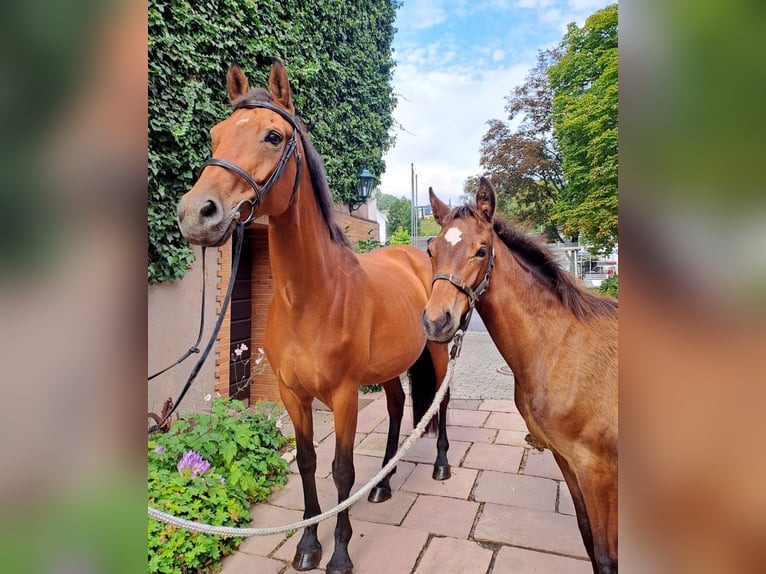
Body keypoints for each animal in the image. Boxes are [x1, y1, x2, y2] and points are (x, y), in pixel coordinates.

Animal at [177, 62, 452, 574]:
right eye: (214, 135)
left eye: (273, 135)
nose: (196, 214)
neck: (311, 299)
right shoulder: (292, 394)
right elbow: (307, 461)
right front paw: (307, 544)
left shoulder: (344, 396)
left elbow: (341, 469)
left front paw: (340, 553)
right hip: (388, 367)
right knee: (396, 407)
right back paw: (383, 484)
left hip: (439, 350)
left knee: (440, 403)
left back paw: (442, 465)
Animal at [424, 178, 620, 572]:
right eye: (431, 250)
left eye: (482, 251)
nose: (436, 322)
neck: (560, 346)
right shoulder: (568, 460)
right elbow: (589, 540)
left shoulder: (599, 471)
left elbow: (607, 556)